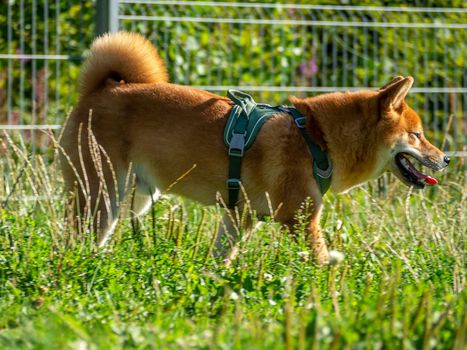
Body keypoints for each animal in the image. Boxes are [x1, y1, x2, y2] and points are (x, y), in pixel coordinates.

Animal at [60, 32, 452, 262]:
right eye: (417, 135)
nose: (446, 158)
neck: (318, 139)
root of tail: (102, 90)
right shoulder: (299, 219)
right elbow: (323, 264)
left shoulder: (239, 217)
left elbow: (219, 257)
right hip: (101, 195)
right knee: (76, 239)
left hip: (124, 197)